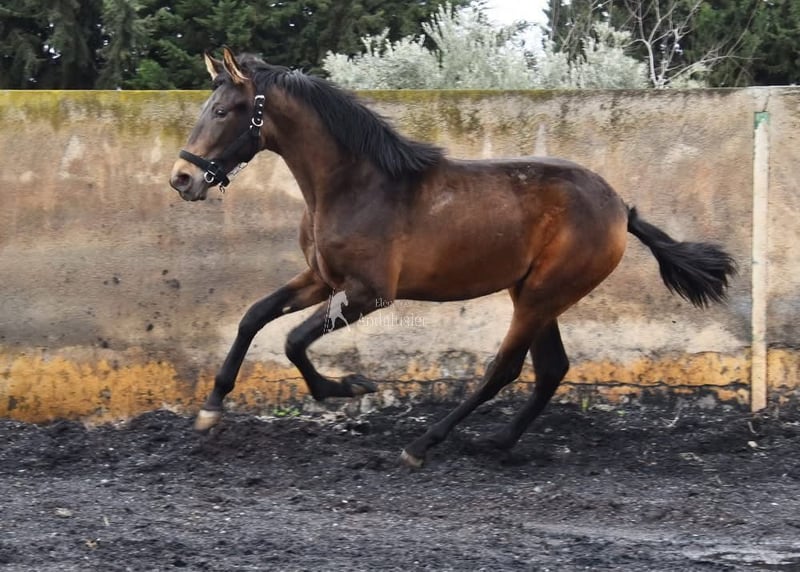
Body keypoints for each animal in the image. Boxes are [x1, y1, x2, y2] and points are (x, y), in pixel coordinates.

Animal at [169, 48, 736, 468]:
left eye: (222, 111)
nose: (182, 178)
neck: (355, 184)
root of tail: (620, 207)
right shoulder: (322, 278)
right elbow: (255, 317)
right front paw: (211, 410)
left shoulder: (369, 292)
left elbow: (292, 340)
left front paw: (349, 387)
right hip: (535, 294)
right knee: (551, 368)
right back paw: (499, 443)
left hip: (542, 295)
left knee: (504, 369)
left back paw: (423, 444)